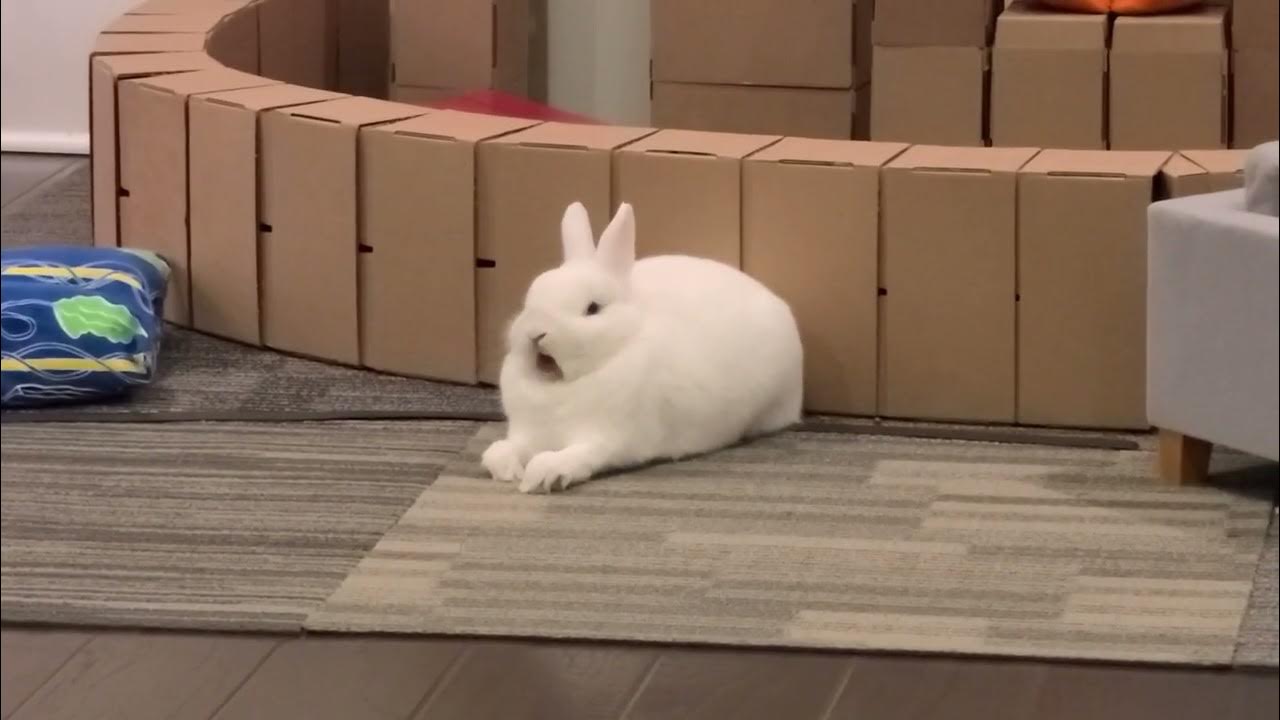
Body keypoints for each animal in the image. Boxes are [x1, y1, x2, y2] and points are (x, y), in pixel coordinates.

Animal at [481, 201, 803, 494]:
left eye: (592, 308)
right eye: (532, 295)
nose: (535, 333)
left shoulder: (609, 437)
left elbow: (577, 455)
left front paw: (544, 474)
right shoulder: (526, 433)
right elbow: (503, 448)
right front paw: (505, 468)